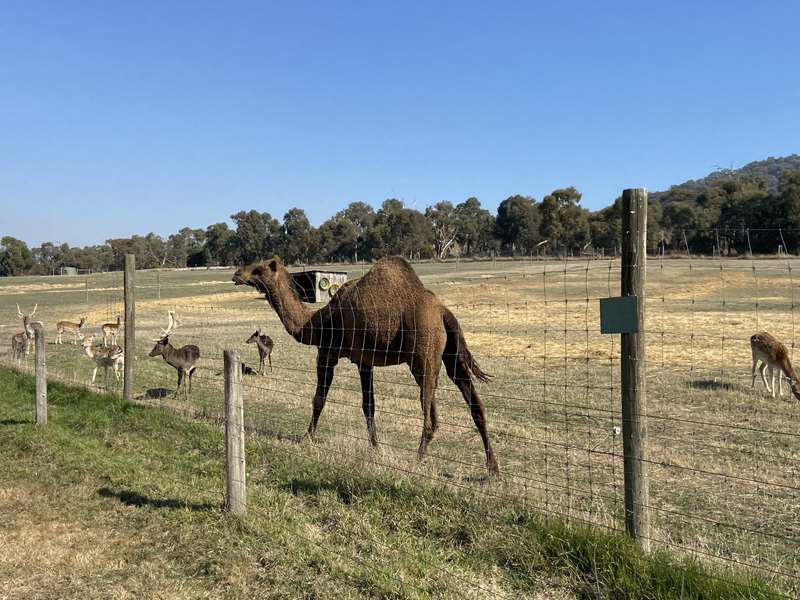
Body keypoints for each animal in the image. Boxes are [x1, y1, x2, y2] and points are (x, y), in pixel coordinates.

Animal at [231, 255, 496, 476]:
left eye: (259, 269)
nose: (236, 274)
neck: (316, 323)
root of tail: (443, 310)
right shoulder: (365, 361)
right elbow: (369, 406)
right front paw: (374, 448)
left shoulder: (327, 353)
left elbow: (319, 399)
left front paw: (306, 438)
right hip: (451, 355)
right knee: (476, 405)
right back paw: (492, 469)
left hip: (423, 356)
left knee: (431, 413)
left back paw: (418, 458)